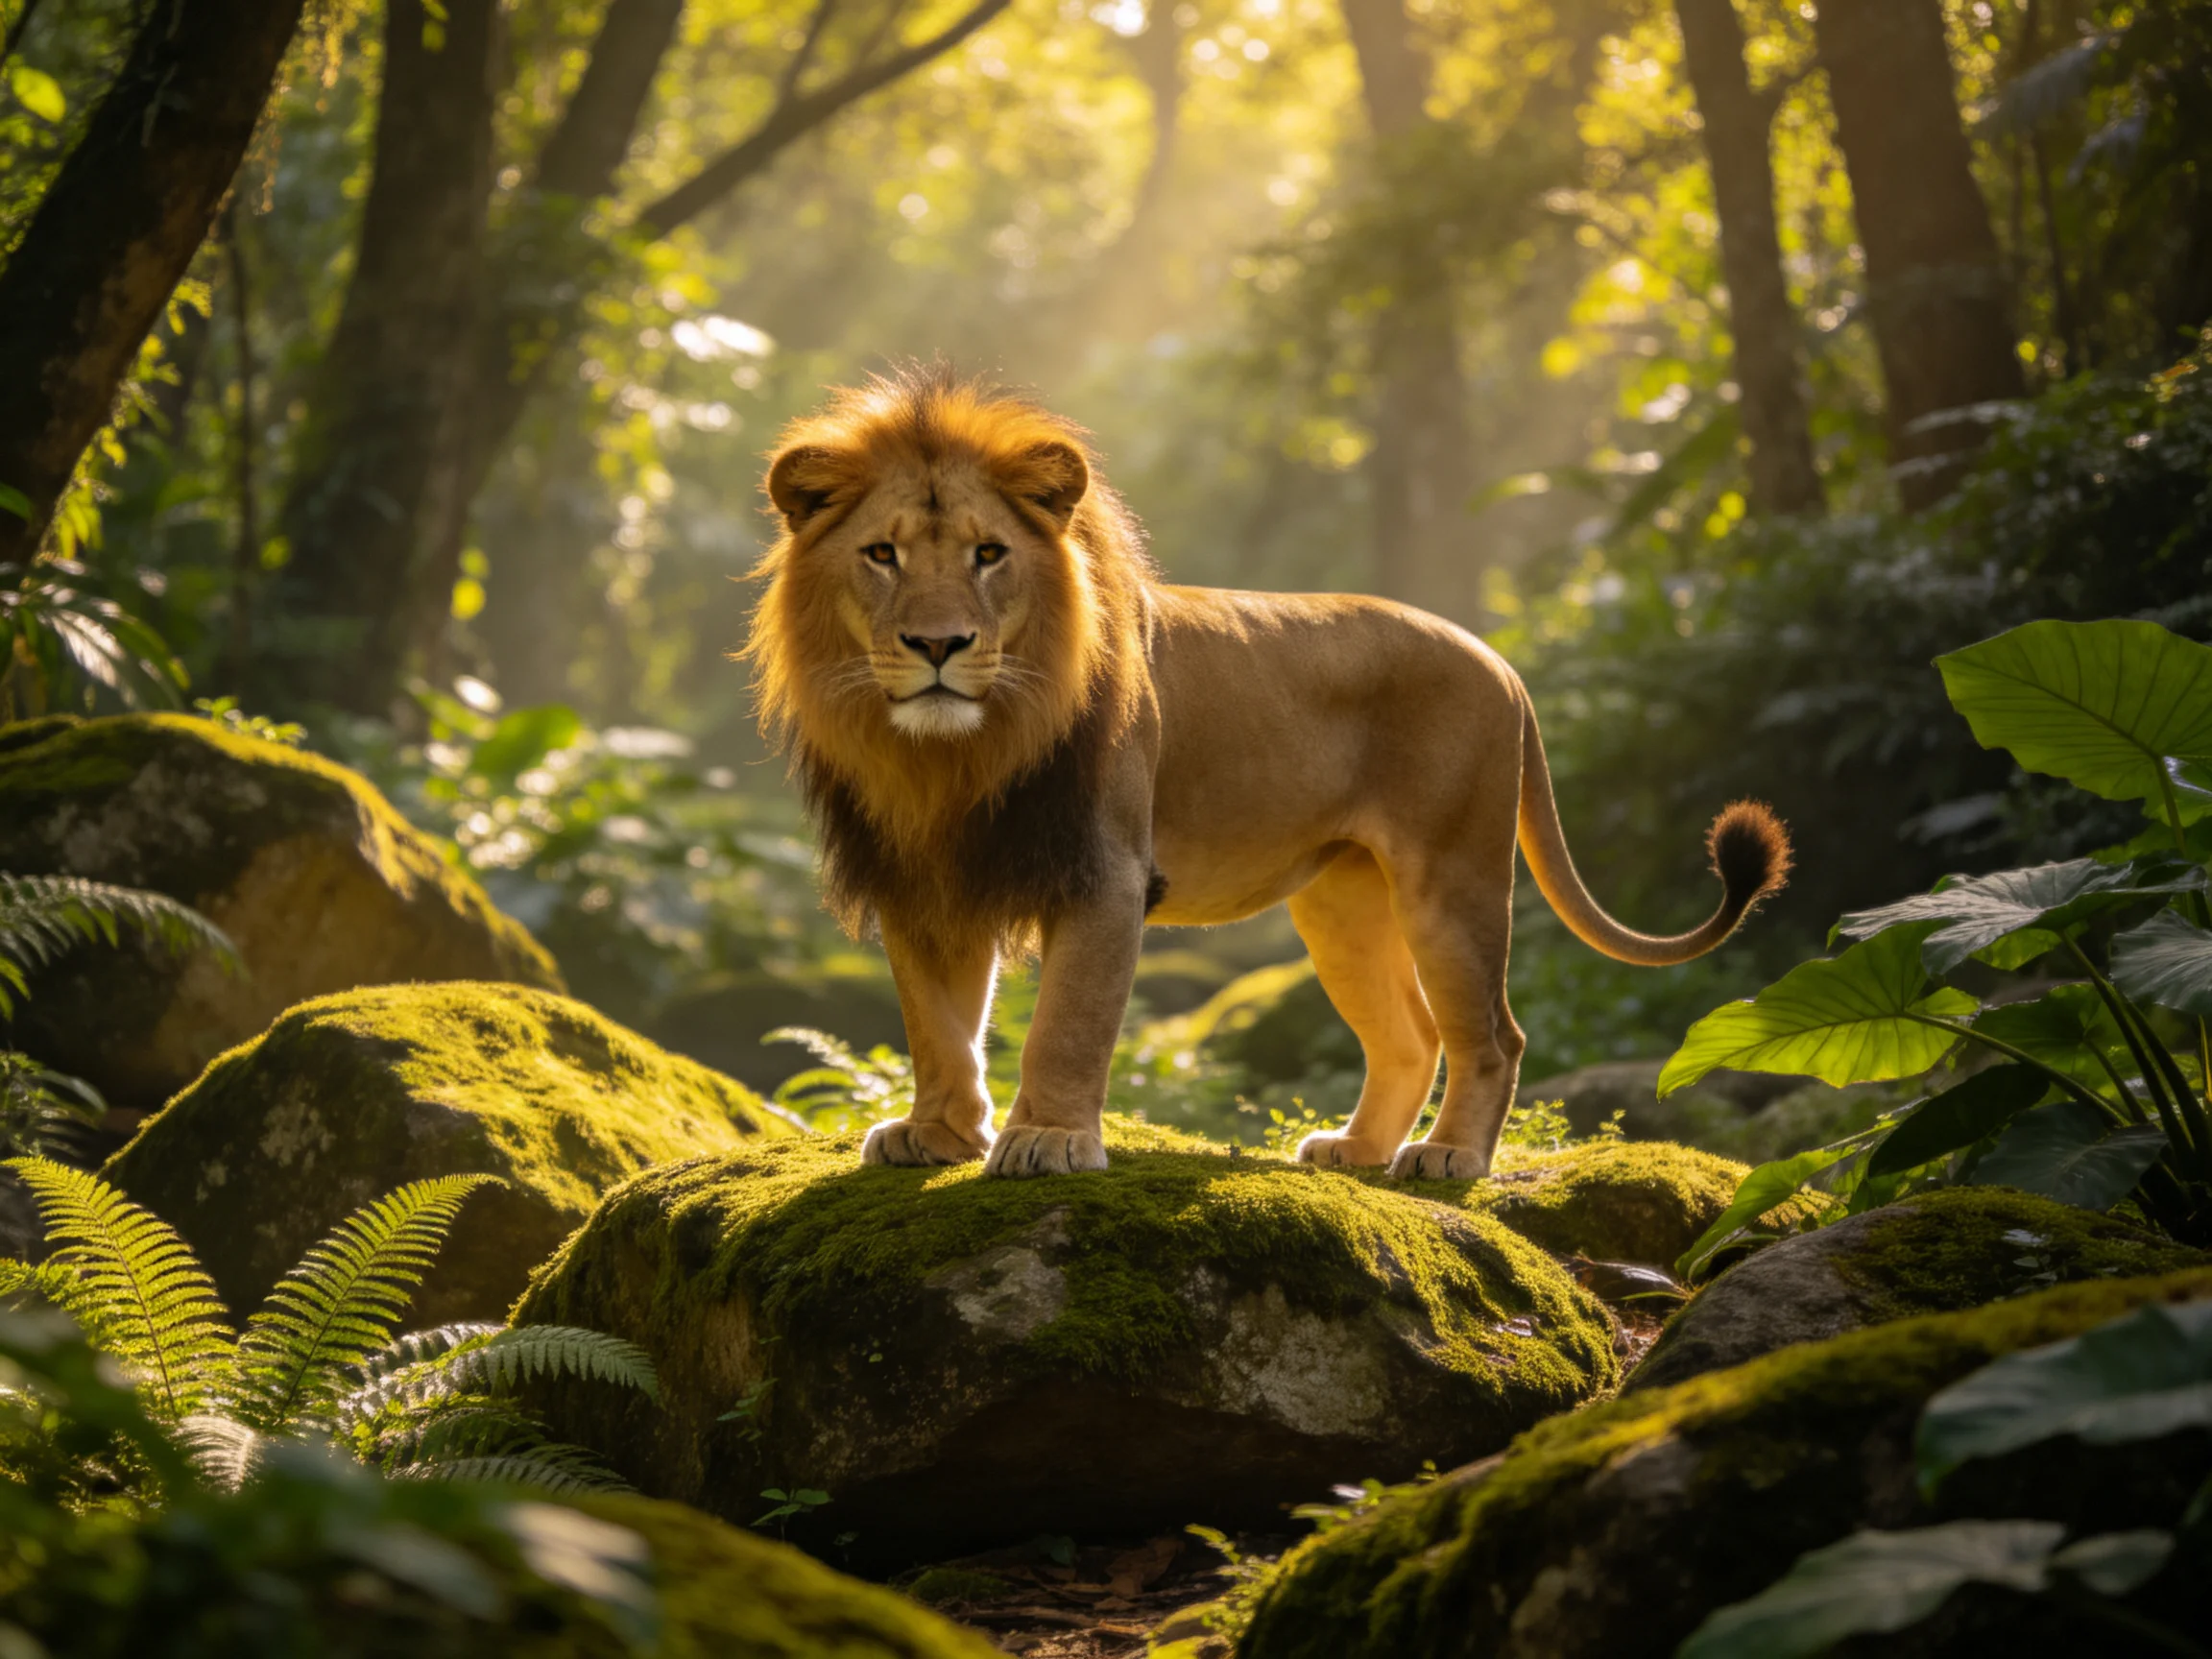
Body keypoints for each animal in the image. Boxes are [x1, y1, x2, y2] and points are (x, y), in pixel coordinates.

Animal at [746, 367, 1790, 1181]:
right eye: (883, 555)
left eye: (989, 555)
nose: (938, 645)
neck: (951, 755)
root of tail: (1501, 663)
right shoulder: (922, 878)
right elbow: (938, 1027)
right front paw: (935, 1133)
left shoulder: (1104, 873)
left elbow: (1066, 1025)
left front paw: (1047, 1140)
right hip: (1341, 903)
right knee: (1410, 1036)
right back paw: (1357, 1151)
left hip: (1452, 879)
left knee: (1494, 1033)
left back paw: (1450, 1157)